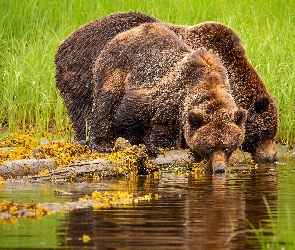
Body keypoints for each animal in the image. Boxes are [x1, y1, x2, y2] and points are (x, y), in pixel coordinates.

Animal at [89, 22, 247, 173]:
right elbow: (131, 112)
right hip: (115, 67)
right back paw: (102, 143)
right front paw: (135, 144)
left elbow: (165, 130)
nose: (219, 169)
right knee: (105, 103)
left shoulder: (174, 109)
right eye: (210, 147)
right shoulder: (168, 91)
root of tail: (125, 33)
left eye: (227, 147)